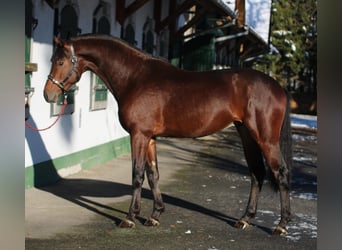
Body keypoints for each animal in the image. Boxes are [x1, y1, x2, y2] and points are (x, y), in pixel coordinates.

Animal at [44, 34, 292, 235]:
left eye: (60, 61)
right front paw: (155, 216)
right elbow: (153, 174)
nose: (48, 94)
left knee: (280, 172)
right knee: (256, 173)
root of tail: (277, 87)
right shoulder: (150, 138)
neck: (136, 77)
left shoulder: (139, 135)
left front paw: (130, 218)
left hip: (265, 139)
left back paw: (281, 225)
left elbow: (137, 175)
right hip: (247, 135)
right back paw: (245, 219)